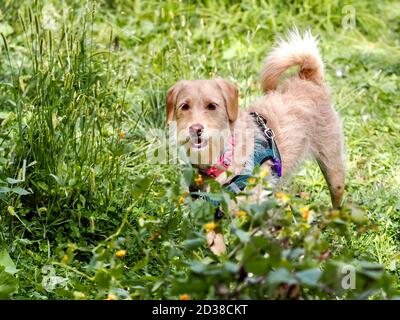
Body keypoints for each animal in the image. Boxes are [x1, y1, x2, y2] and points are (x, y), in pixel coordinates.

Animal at [165, 30, 344, 255]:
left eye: (212, 106)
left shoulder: (256, 215)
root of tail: (308, 78)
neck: (221, 161)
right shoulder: (211, 219)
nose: (196, 128)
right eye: (184, 106)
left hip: (334, 170)